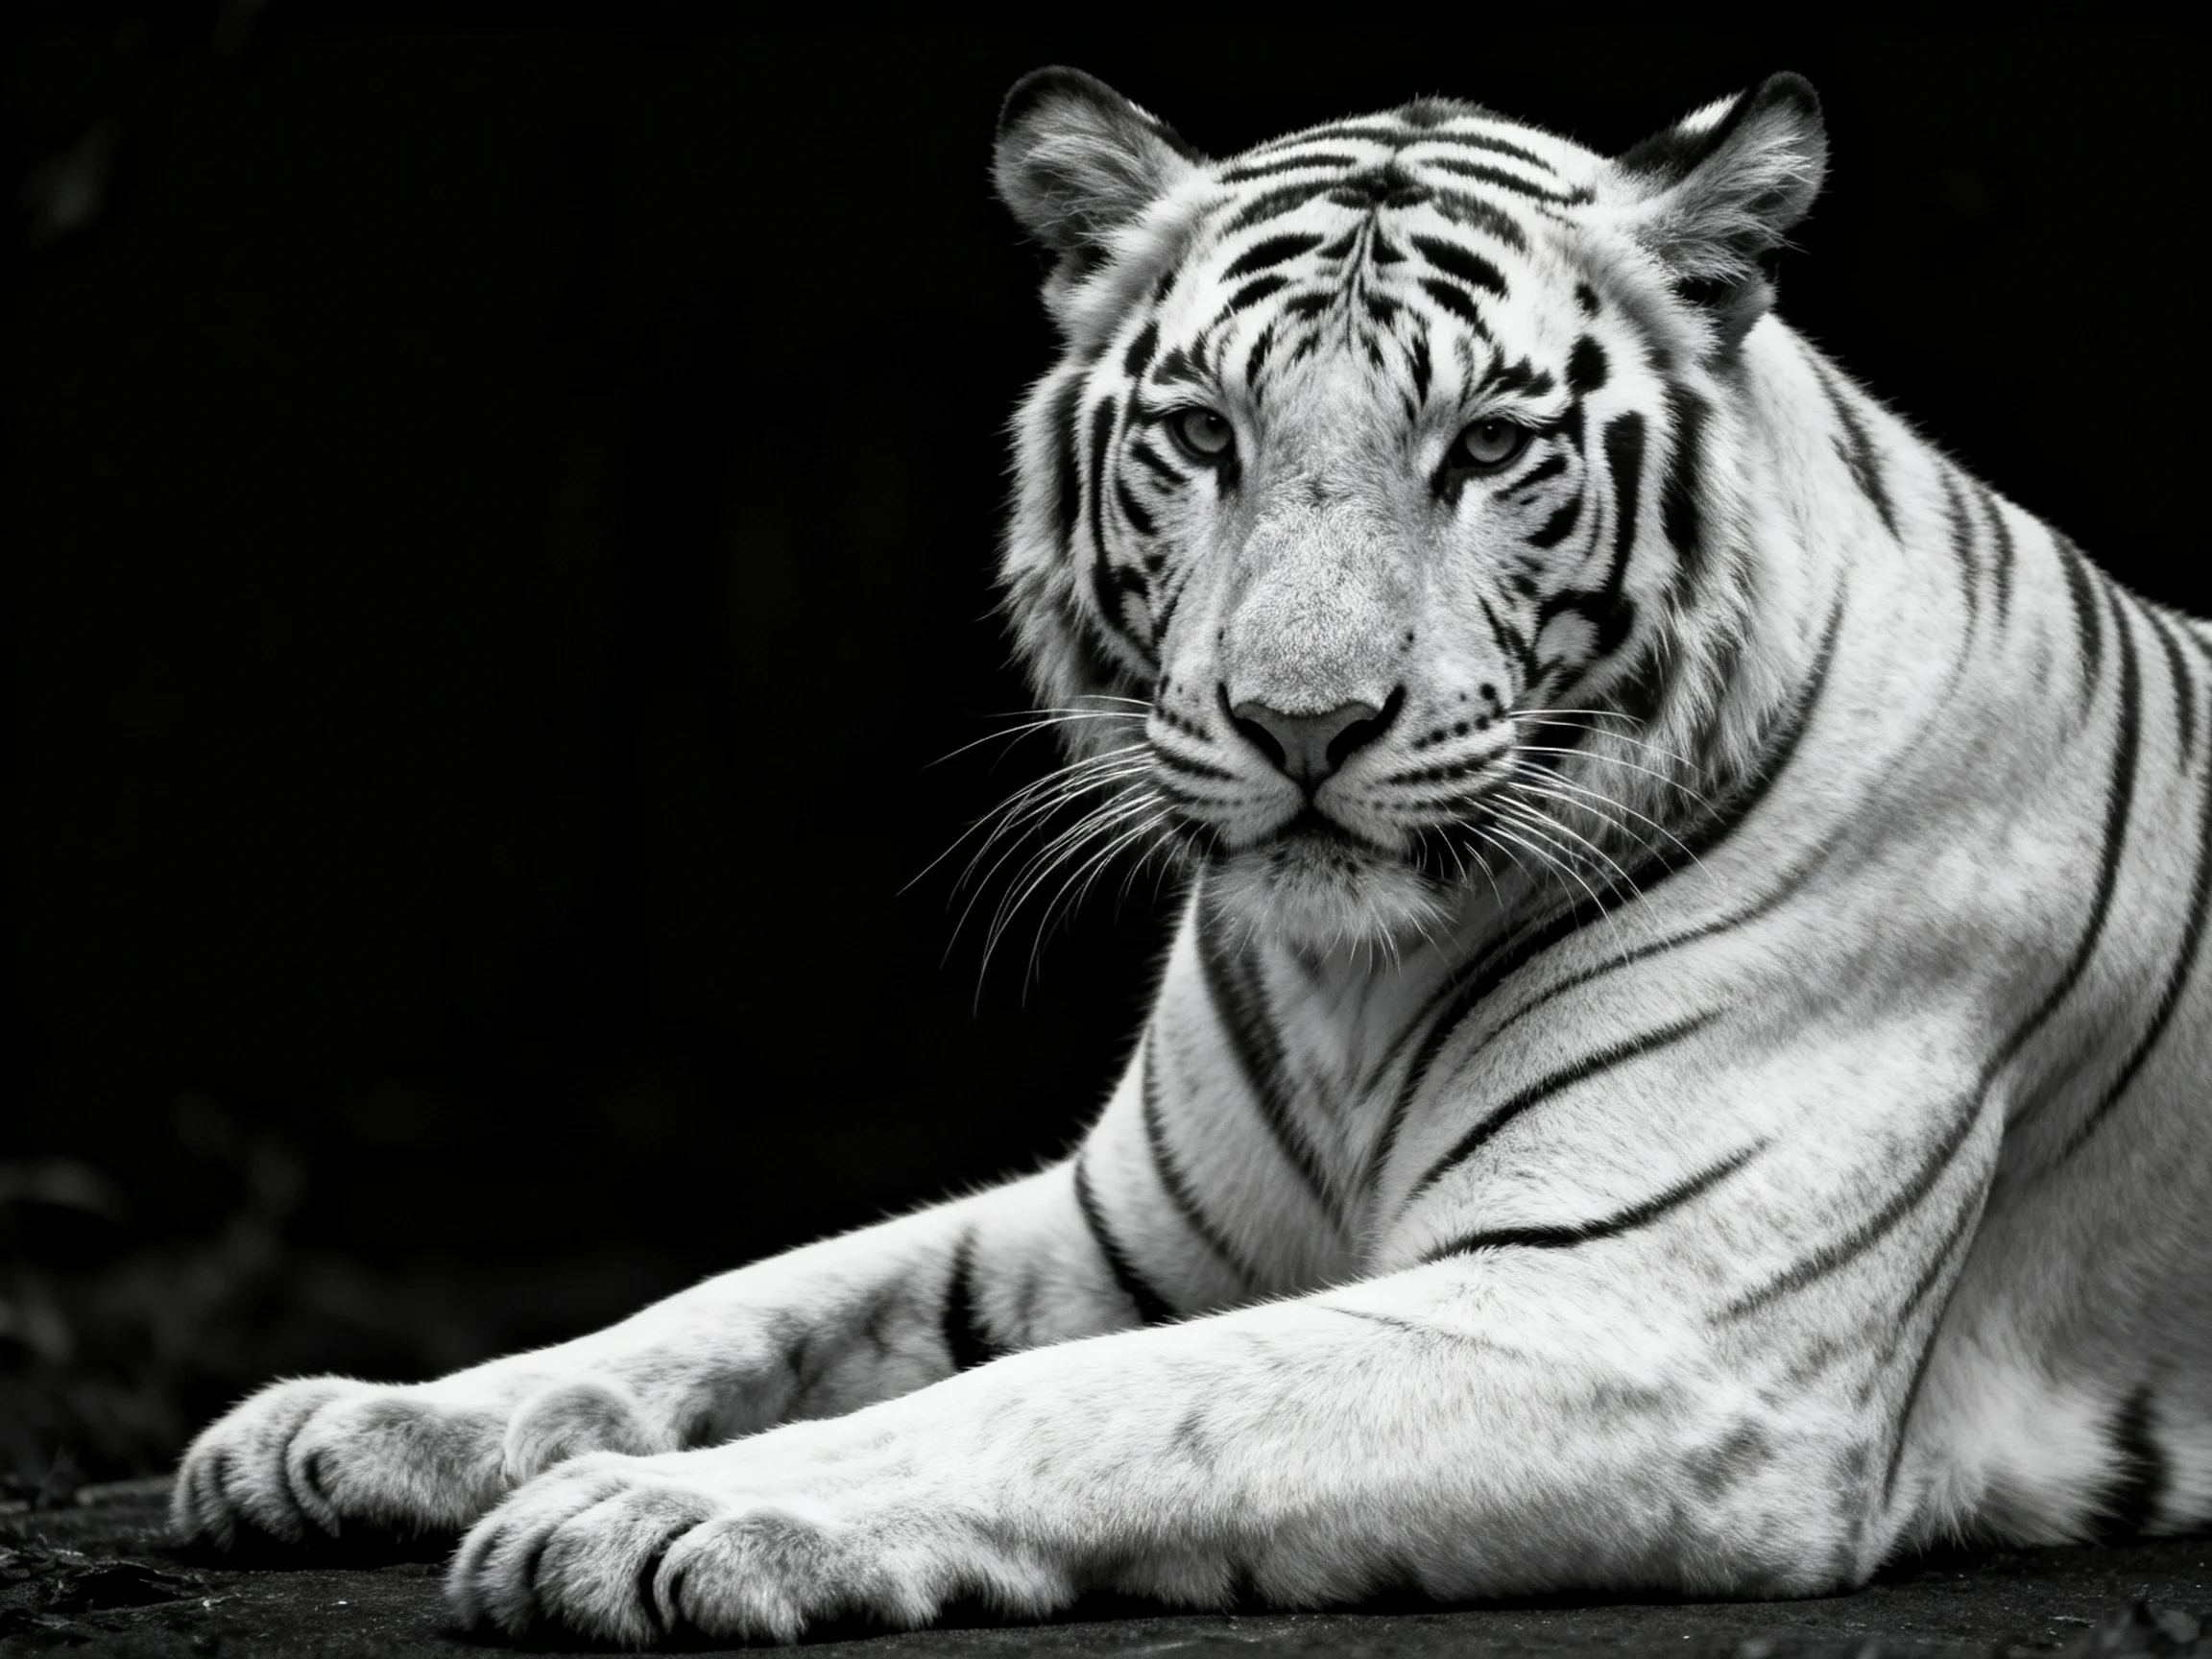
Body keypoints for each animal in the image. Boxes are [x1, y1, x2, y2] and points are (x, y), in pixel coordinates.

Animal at [170, 67, 2212, 1645]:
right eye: (1201, 435)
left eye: (1486, 446)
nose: (1302, 723)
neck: (1354, 977)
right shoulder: (1116, 1226)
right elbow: (737, 1297)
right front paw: (355, 1424)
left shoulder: (1632, 1316)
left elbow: (1101, 1405)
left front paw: (640, 1515)